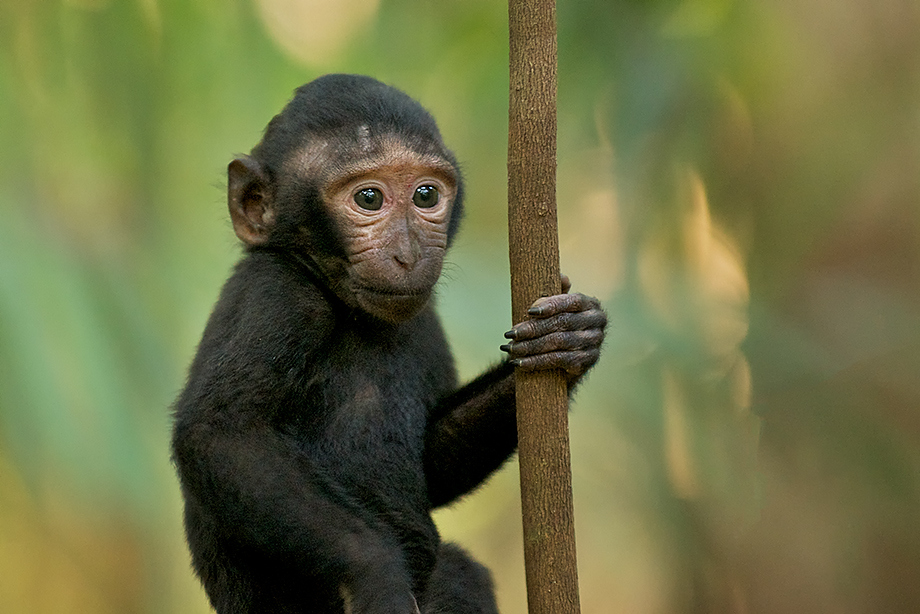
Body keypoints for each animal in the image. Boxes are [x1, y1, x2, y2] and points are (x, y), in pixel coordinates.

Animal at [171, 74, 606, 614]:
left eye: (425, 194)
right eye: (369, 199)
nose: (409, 252)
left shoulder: (427, 320)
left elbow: (434, 466)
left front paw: (569, 335)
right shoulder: (275, 295)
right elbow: (220, 434)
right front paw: (376, 574)